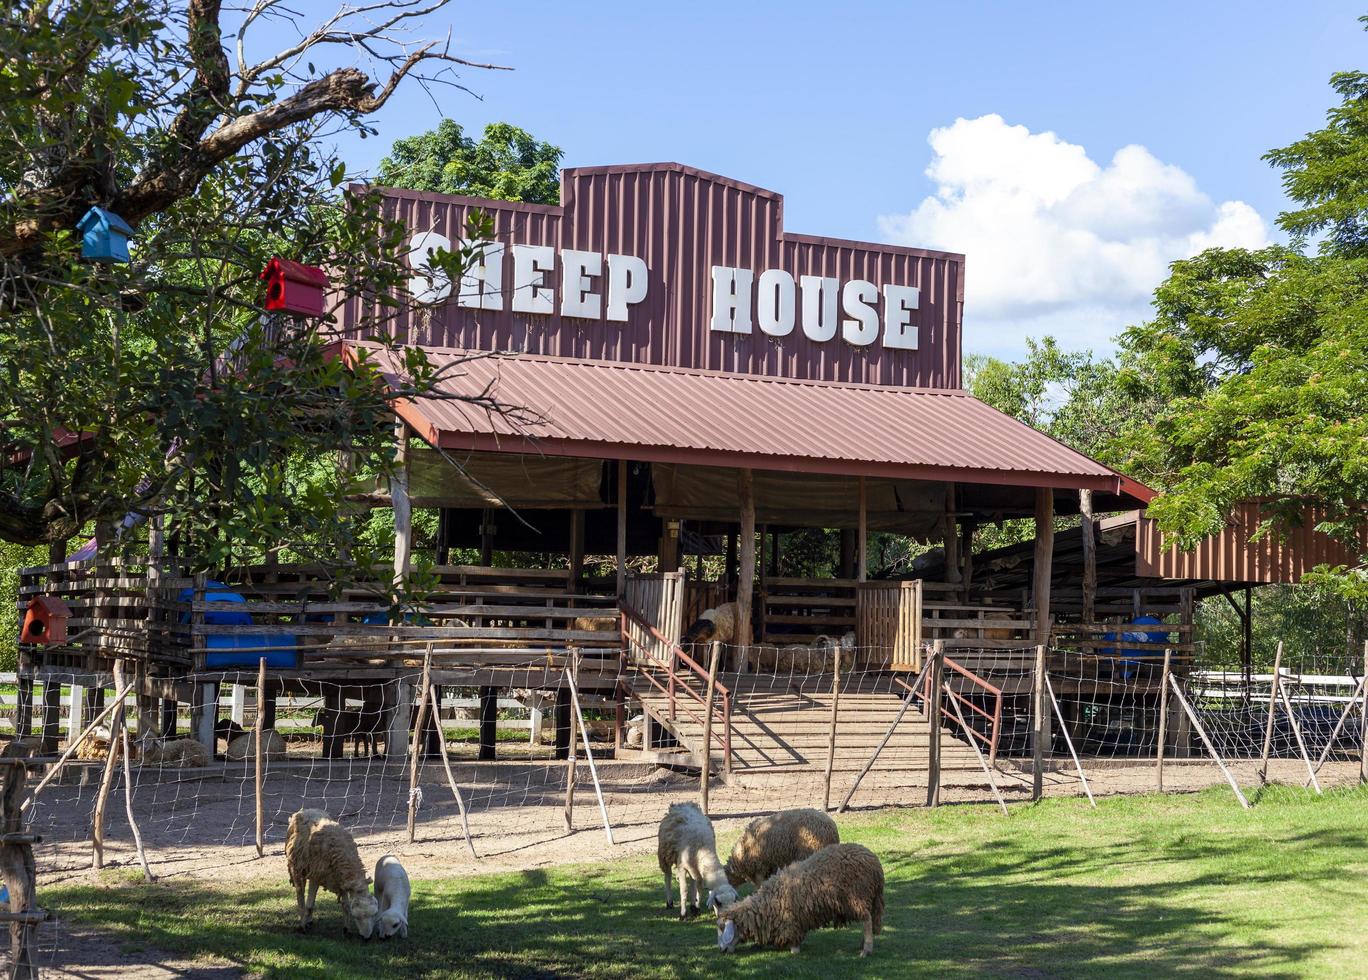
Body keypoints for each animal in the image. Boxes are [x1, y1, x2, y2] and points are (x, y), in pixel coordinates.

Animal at [716, 843, 886, 958]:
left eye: (723, 928)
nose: (722, 950)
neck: (767, 905)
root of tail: (875, 863)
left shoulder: (790, 919)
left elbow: (793, 937)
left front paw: (794, 950)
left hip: (857, 897)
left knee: (867, 920)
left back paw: (866, 949)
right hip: (870, 898)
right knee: (871, 919)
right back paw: (863, 944)